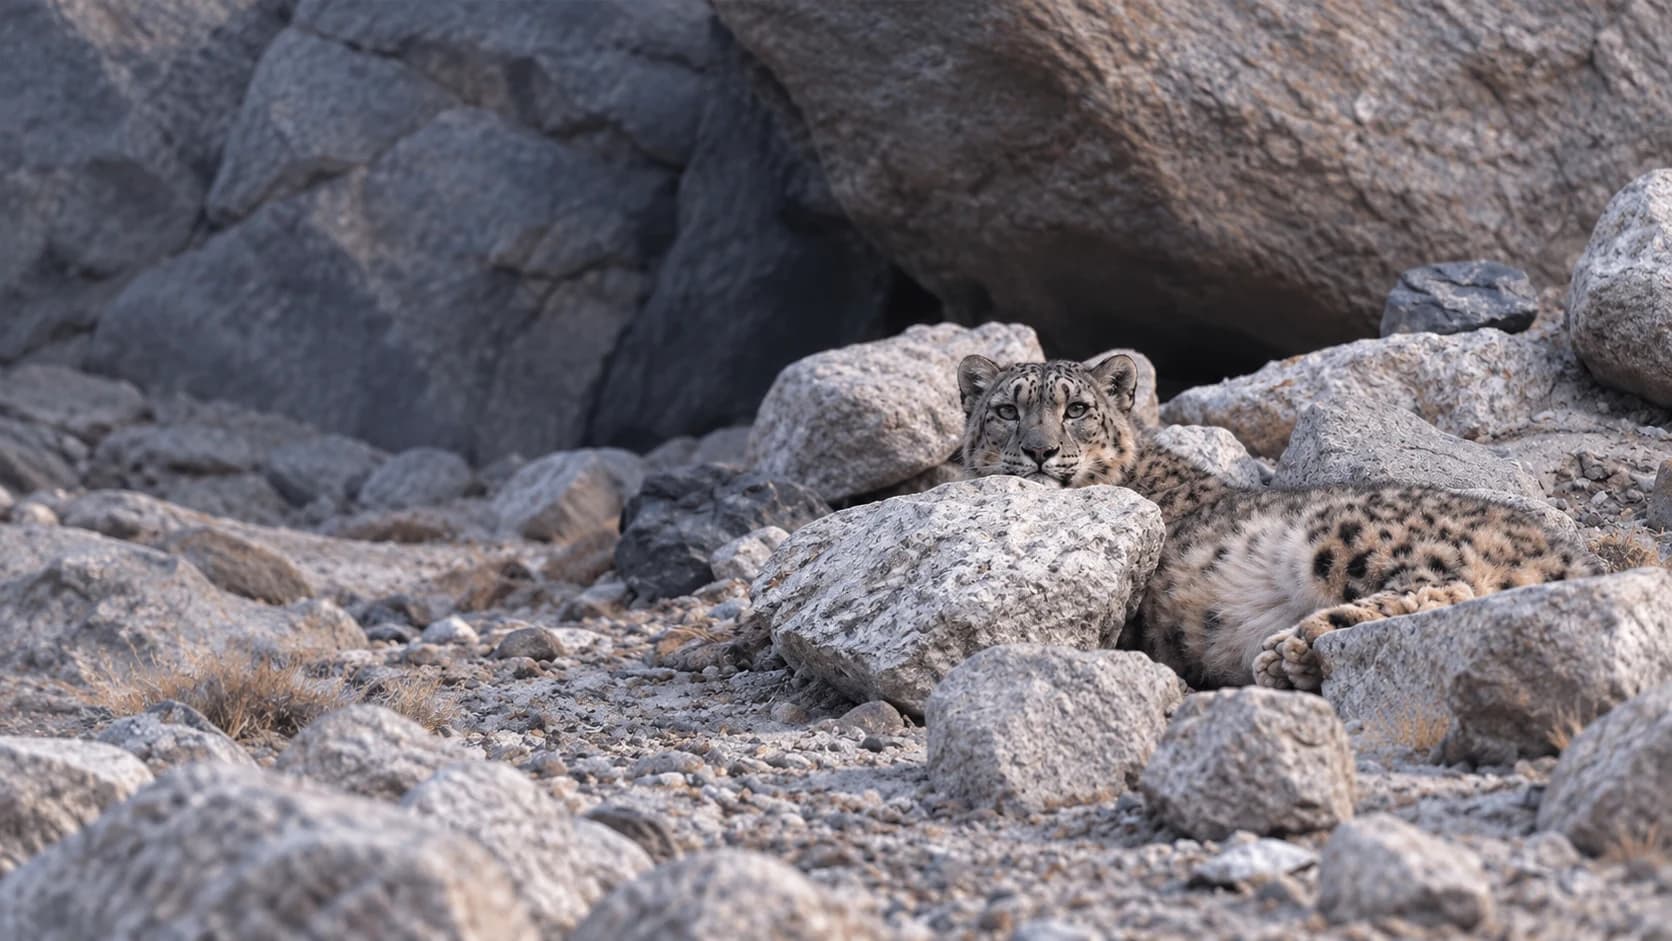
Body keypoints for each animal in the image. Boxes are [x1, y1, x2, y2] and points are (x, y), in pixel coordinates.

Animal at [957, 353, 1603, 692]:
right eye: (1006, 410)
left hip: (1348, 535)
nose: (1039, 451)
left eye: (1077, 409)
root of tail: (1569, 553)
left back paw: (1294, 646)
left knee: (1450, 589)